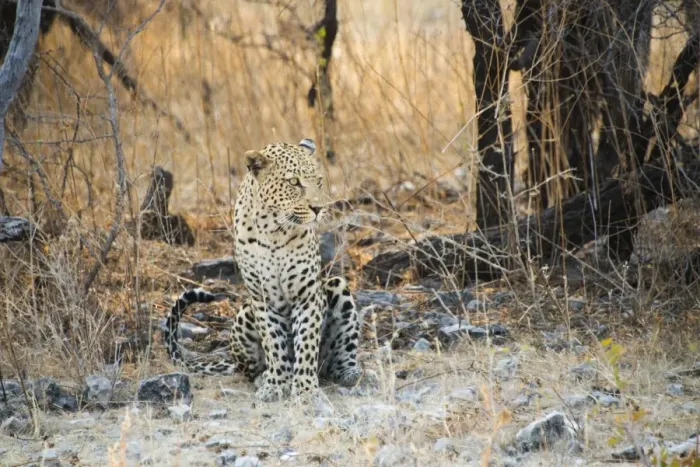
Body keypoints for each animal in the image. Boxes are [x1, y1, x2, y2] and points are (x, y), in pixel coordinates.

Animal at [163, 138, 362, 402]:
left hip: (335, 286)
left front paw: (306, 390)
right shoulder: (262, 298)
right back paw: (264, 377)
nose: (319, 208)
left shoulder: (307, 296)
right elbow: (274, 345)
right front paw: (277, 386)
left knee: (338, 357)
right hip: (244, 313)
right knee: (249, 368)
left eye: (318, 180)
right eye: (294, 182)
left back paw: (351, 373)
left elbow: (307, 344)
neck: (274, 230)